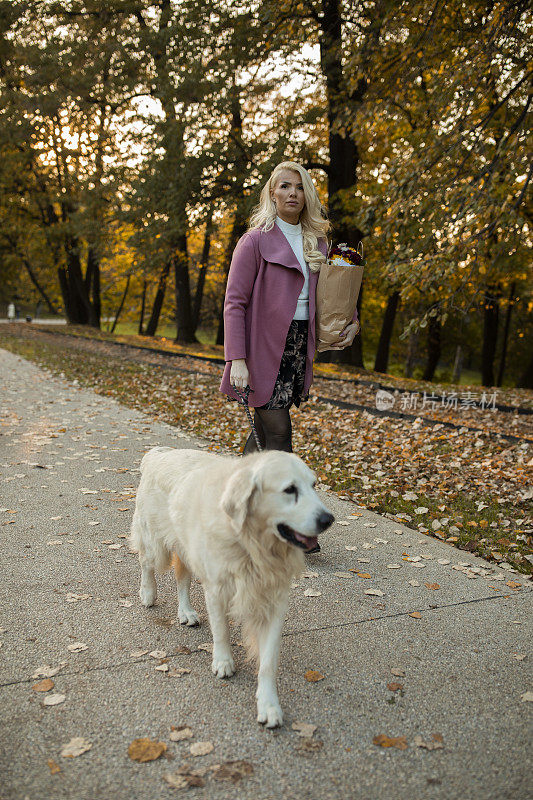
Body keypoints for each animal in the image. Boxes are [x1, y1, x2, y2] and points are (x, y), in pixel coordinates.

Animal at [129, 446, 332, 728]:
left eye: (313, 486)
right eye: (290, 489)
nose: (328, 519)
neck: (251, 542)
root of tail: (159, 452)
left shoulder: (273, 601)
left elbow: (268, 662)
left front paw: (269, 705)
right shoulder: (217, 589)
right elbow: (221, 630)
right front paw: (223, 661)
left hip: (187, 549)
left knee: (182, 579)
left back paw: (185, 612)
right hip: (156, 541)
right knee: (146, 562)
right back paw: (148, 593)